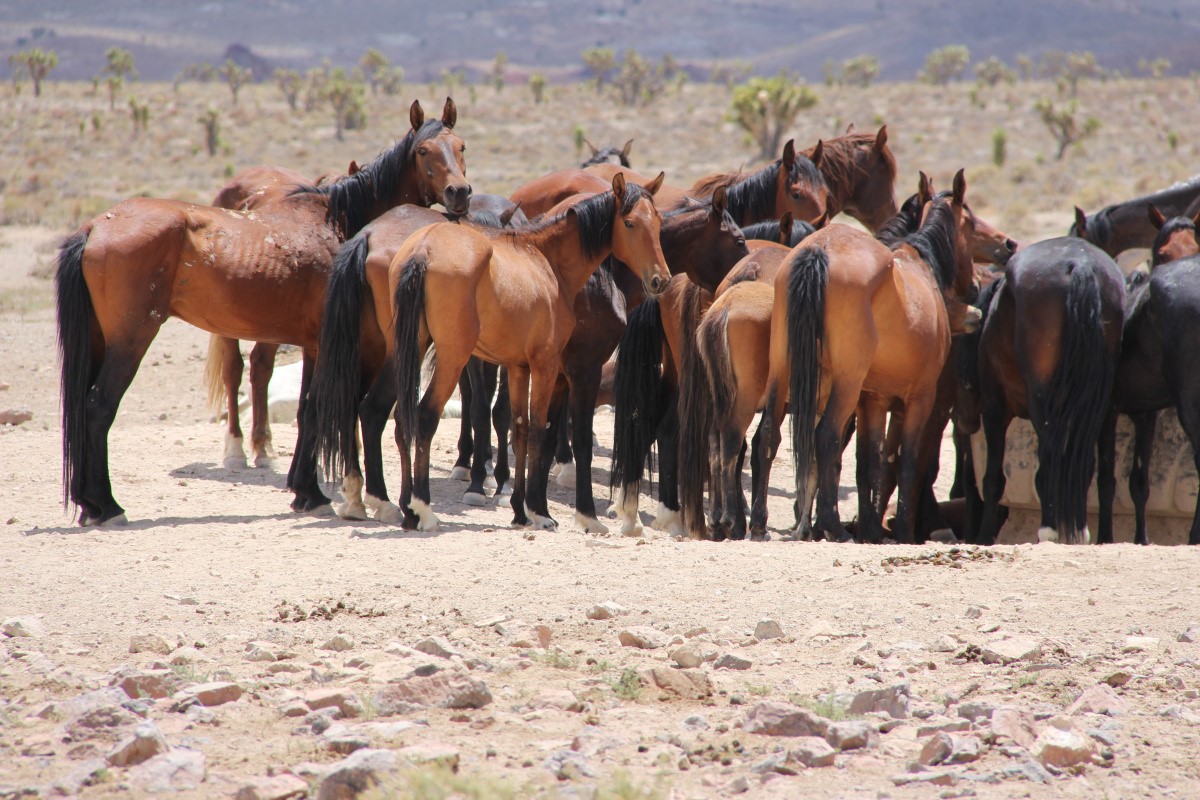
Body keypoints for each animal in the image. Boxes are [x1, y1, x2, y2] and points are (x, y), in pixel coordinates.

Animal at [55, 98, 468, 525]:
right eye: (423, 152)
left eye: (461, 146)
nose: (459, 193)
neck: (338, 222)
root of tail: (95, 227)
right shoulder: (327, 343)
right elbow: (317, 408)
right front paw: (315, 492)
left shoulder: (313, 346)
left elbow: (307, 410)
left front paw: (304, 491)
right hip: (131, 340)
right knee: (99, 406)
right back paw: (107, 505)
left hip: (101, 340)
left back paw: (89, 503)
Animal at [388, 175, 672, 532]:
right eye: (630, 223)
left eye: (658, 222)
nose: (661, 280)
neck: (546, 261)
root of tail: (423, 249)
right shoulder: (549, 366)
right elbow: (541, 428)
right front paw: (541, 511)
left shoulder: (518, 367)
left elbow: (519, 428)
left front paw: (519, 510)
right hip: (454, 357)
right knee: (425, 416)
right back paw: (423, 508)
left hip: (412, 349)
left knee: (403, 419)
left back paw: (407, 509)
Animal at [763, 170, 979, 544]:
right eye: (972, 225)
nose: (978, 284)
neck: (920, 266)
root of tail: (819, 250)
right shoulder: (919, 399)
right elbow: (907, 464)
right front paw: (902, 530)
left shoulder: (872, 401)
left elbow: (869, 466)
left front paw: (871, 528)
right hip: (846, 385)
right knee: (825, 436)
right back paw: (832, 526)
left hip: (783, 370)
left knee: (767, 435)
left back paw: (753, 523)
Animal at [1099, 203, 1200, 546]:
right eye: (1164, 253)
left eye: (1196, 247)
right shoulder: (1141, 414)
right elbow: (1137, 483)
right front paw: (1139, 539)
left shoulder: (1112, 411)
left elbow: (1109, 481)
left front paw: (1106, 536)